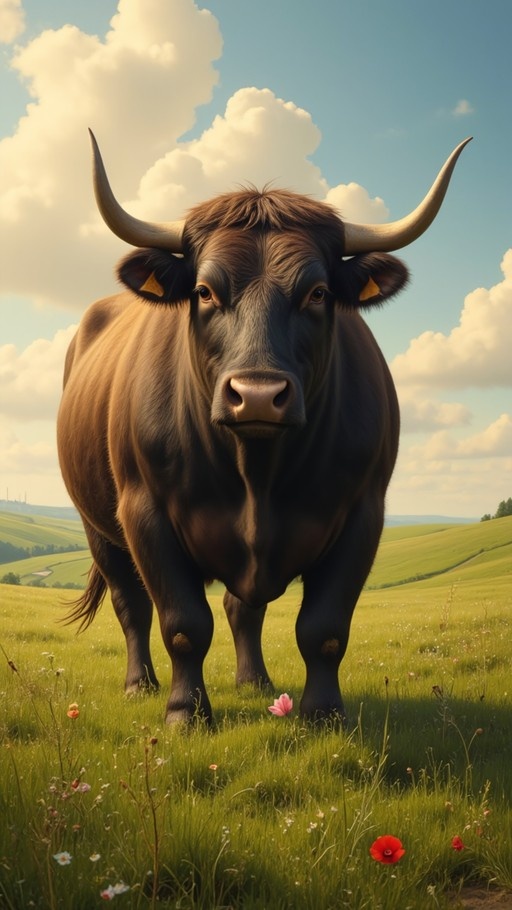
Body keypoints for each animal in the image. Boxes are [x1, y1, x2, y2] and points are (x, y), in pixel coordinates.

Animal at [57, 132, 470, 725]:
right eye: (205, 291)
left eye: (318, 292)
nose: (256, 396)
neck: (257, 472)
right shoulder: (144, 510)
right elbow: (183, 625)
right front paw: (185, 714)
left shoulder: (362, 513)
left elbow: (323, 629)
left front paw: (323, 714)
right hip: (99, 529)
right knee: (130, 605)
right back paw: (140, 684)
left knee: (241, 606)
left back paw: (255, 681)